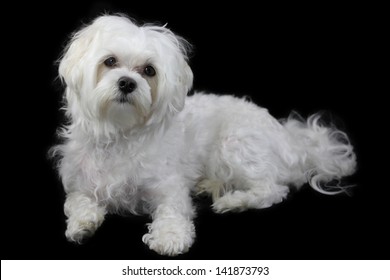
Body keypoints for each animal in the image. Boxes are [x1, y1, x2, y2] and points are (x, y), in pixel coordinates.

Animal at [51, 14, 356, 256]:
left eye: (149, 71)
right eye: (110, 61)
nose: (127, 83)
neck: (121, 133)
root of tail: (292, 141)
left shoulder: (168, 187)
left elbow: (173, 210)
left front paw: (170, 237)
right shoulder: (79, 184)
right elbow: (76, 202)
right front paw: (82, 224)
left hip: (236, 145)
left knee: (272, 189)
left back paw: (233, 201)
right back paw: (209, 185)